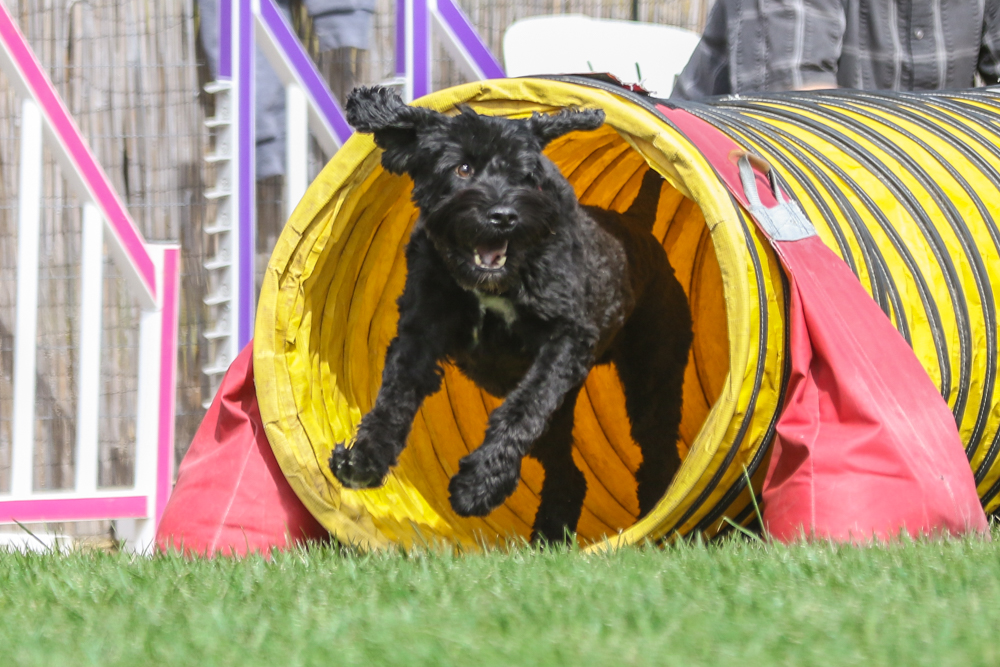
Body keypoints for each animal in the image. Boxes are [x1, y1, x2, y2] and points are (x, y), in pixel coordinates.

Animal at [332, 86, 692, 544]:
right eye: (463, 168)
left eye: (525, 174)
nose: (504, 216)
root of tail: (635, 225)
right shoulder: (419, 332)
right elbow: (394, 395)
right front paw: (362, 461)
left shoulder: (567, 340)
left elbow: (523, 408)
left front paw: (478, 486)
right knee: (568, 470)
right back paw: (551, 531)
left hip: (652, 373)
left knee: (655, 446)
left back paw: (657, 514)